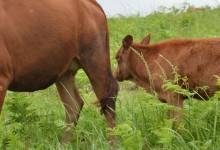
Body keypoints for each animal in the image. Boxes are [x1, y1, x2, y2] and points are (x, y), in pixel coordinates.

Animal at [0, 0, 118, 145]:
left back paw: (113, 144)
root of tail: (90, 4)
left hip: (95, 58)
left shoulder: (2, 79)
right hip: (64, 71)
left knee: (108, 101)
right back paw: (63, 145)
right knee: (74, 104)